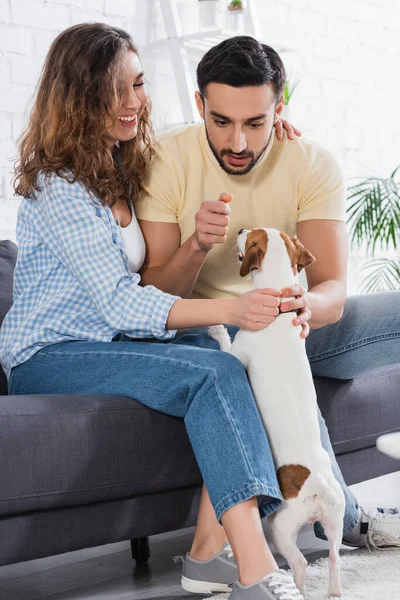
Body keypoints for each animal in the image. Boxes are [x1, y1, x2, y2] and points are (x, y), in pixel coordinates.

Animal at [211, 227, 346, 596]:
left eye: (249, 236)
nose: (239, 229)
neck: (280, 312)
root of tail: (318, 486)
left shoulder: (238, 355)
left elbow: (227, 348)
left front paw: (217, 328)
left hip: (280, 527)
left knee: (299, 562)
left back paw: (297, 586)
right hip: (336, 519)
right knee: (333, 557)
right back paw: (333, 591)